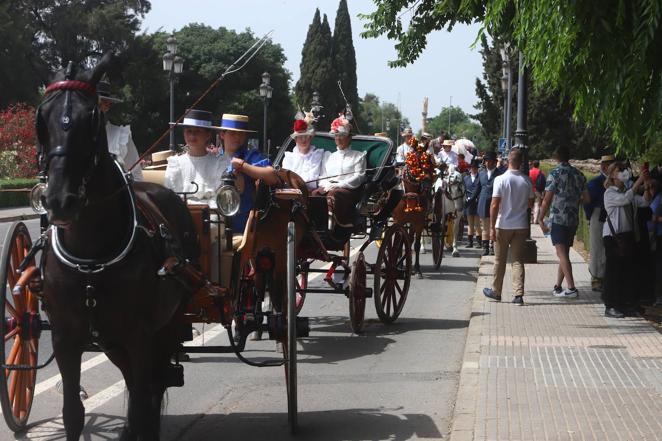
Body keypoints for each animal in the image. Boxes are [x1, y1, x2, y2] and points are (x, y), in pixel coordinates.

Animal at [37, 53, 198, 438]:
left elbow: (140, 403)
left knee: (151, 387)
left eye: (91, 119)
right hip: (112, 341)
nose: (59, 200)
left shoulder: (139, 335)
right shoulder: (65, 338)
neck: (91, 256)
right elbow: (72, 412)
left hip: (166, 327)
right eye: (42, 118)